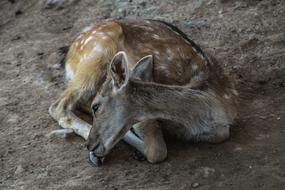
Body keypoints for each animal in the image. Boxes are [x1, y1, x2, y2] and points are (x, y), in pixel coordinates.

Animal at [47, 18, 236, 166]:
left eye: (97, 107)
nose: (89, 145)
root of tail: (69, 51)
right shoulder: (144, 117)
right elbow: (157, 151)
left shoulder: (221, 129)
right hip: (97, 53)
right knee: (58, 105)